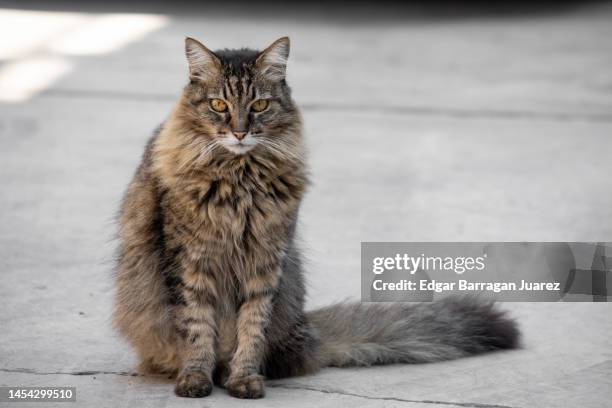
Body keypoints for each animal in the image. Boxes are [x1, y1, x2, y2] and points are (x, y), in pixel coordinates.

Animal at [112, 36, 520, 400]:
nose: (240, 132)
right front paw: (196, 378)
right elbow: (197, 328)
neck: (240, 179)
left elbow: (251, 329)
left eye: (259, 105)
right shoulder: (190, 264)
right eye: (218, 104)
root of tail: (308, 331)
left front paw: (244, 379)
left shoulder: (265, 264)